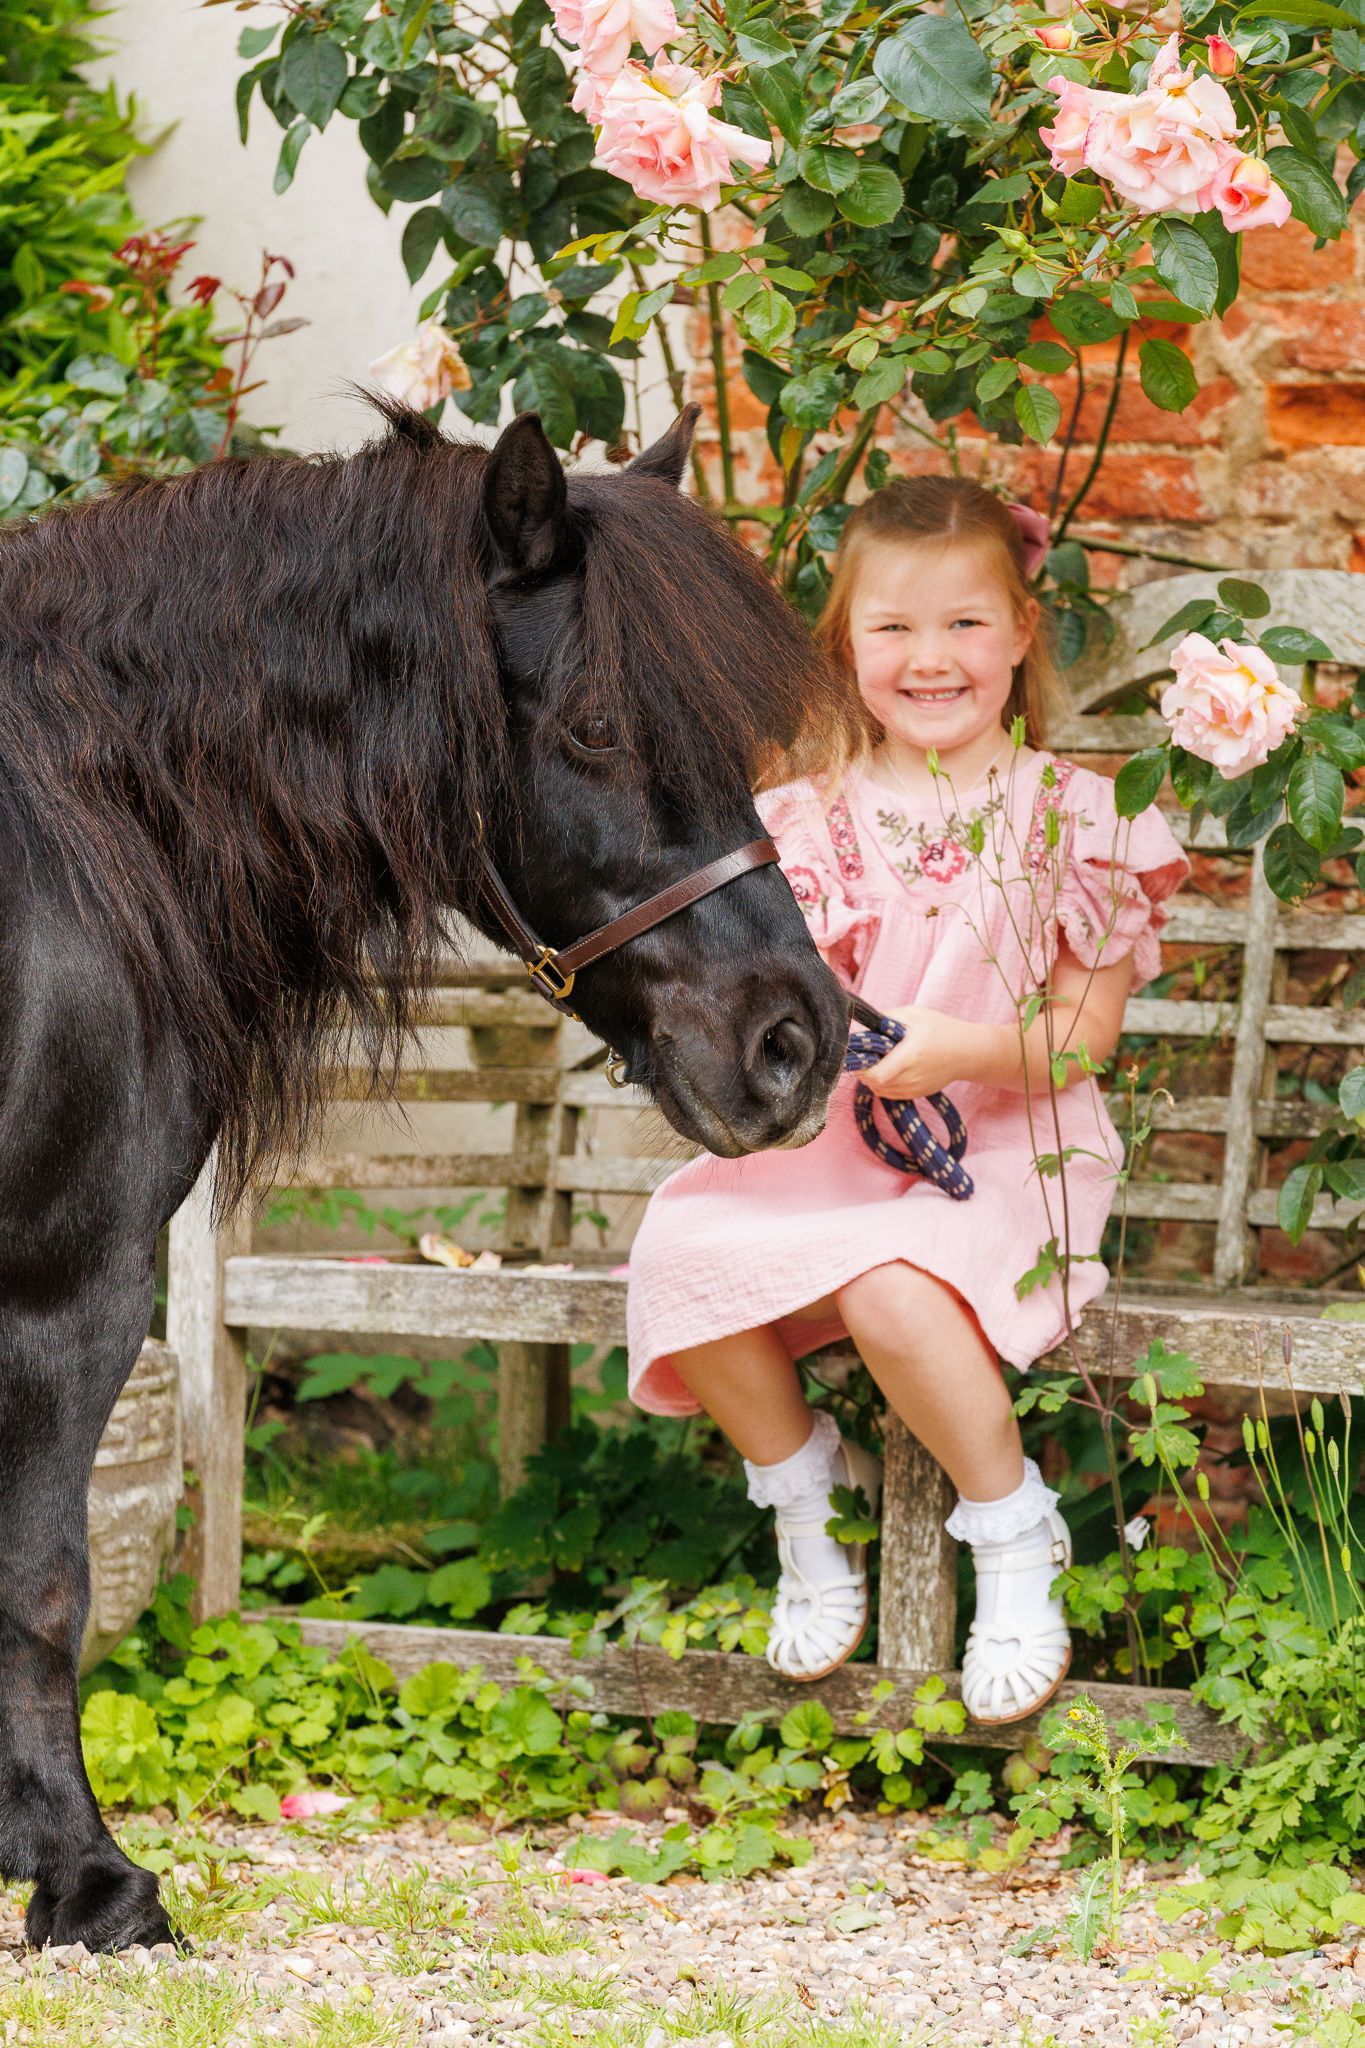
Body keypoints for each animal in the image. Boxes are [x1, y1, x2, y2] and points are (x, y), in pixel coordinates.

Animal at [0, 399, 853, 1952]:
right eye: (594, 723)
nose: (794, 1043)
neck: (73, 836)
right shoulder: (67, 1286)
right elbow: (44, 1582)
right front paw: (89, 1879)